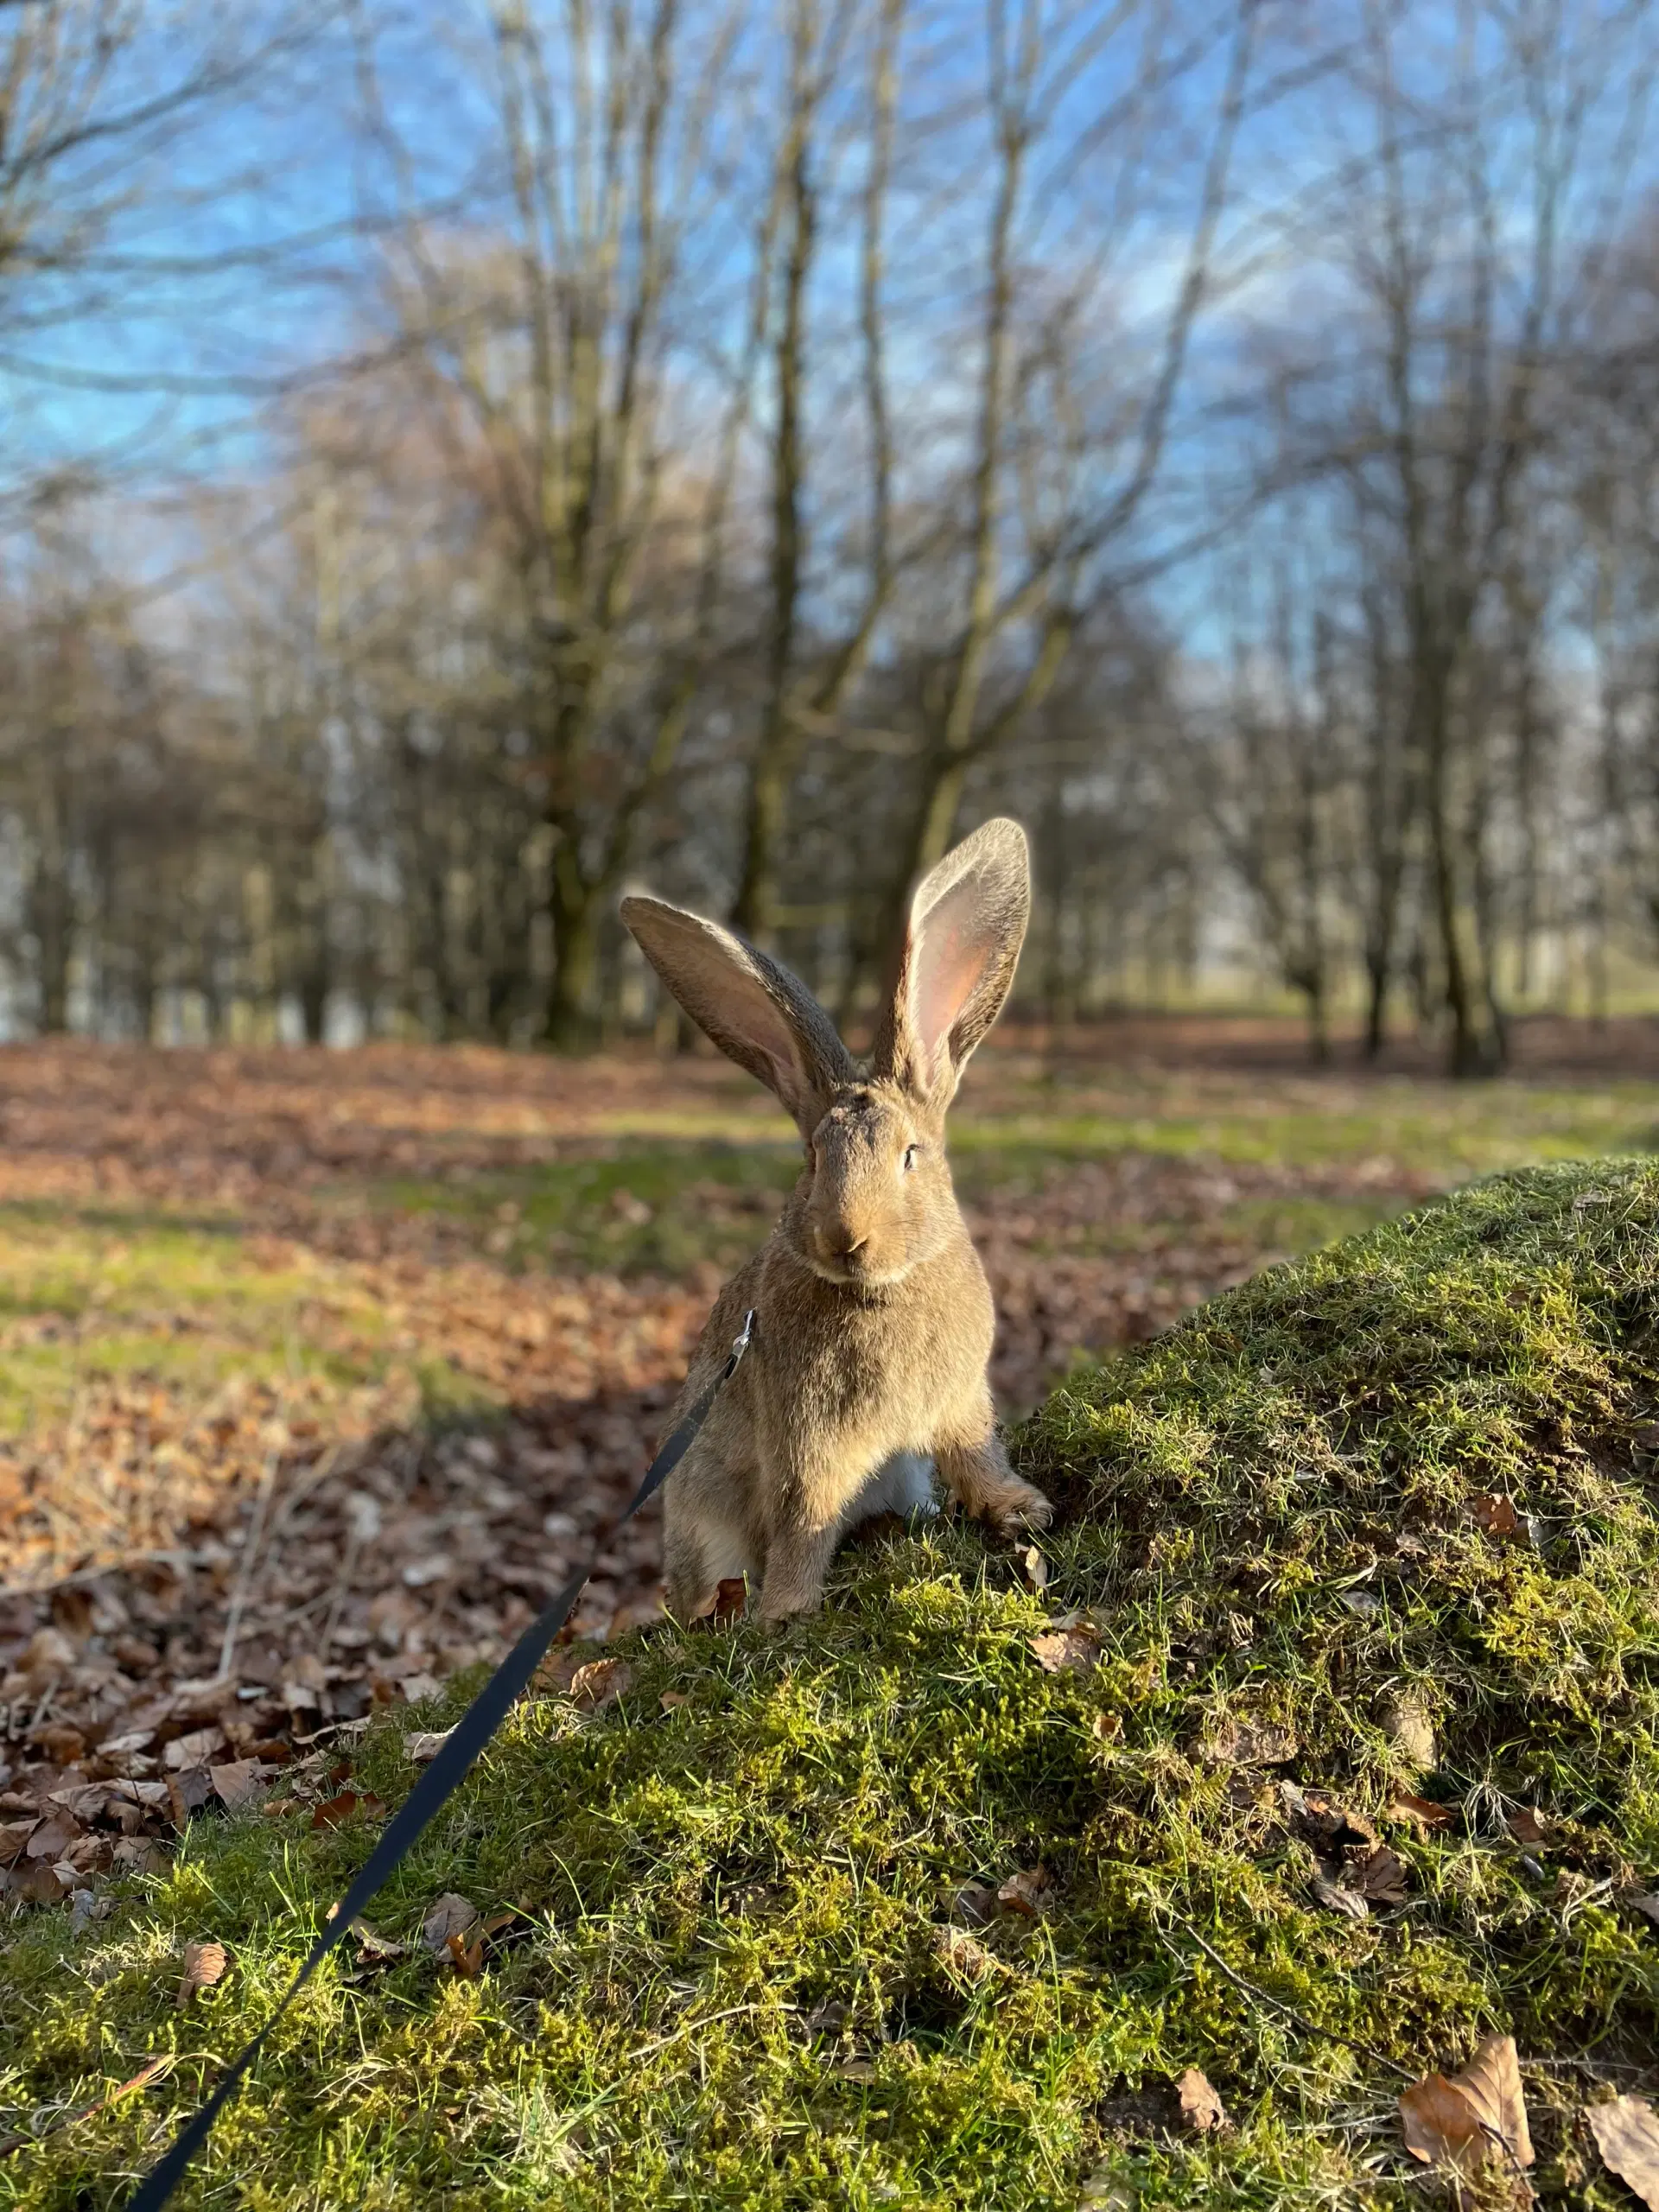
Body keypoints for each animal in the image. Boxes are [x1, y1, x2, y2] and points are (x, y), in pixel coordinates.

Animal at [623, 814, 1052, 1628]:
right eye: (812, 1157)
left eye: (911, 1155)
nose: (845, 1238)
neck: (877, 1291)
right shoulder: (811, 1443)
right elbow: (804, 1519)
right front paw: (787, 1613)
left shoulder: (959, 1402)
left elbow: (976, 1455)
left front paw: (1022, 1509)